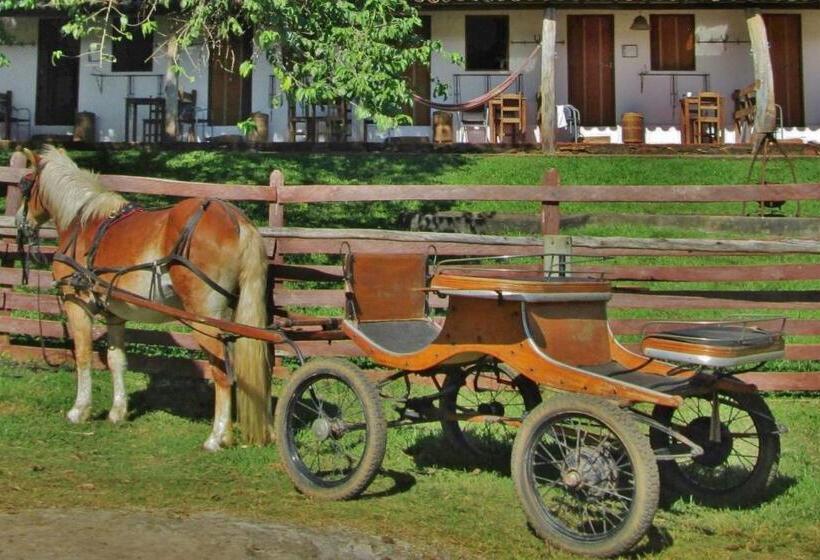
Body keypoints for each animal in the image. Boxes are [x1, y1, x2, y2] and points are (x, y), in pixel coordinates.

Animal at [14, 146, 271, 450]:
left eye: (25, 183)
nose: (20, 222)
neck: (83, 222)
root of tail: (235, 219)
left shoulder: (77, 304)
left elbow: (83, 355)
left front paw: (80, 410)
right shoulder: (115, 313)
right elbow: (116, 360)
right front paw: (118, 411)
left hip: (204, 319)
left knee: (222, 373)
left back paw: (215, 437)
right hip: (230, 319)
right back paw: (230, 434)